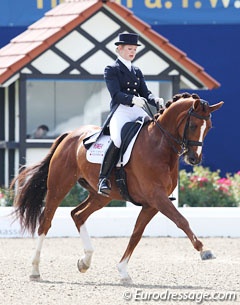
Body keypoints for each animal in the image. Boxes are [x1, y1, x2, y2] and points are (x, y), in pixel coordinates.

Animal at [11, 92, 223, 282]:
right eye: (193, 125)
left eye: (209, 128)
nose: (194, 159)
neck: (159, 146)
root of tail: (70, 134)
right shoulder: (157, 197)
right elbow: (181, 220)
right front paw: (204, 250)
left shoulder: (152, 204)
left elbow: (136, 234)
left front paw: (123, 270)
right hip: (59, 187)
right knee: (45, 222)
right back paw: (35, 270)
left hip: (102, 195)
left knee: (78, 215)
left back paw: (85, 261)